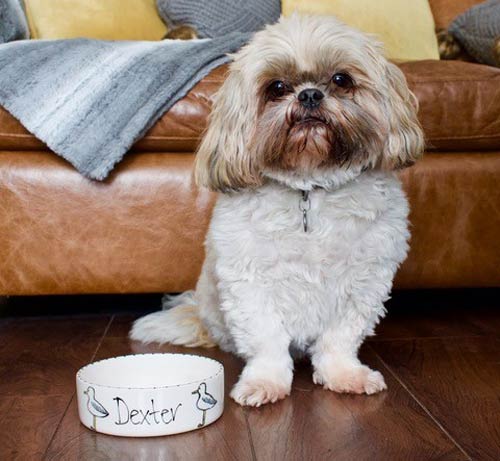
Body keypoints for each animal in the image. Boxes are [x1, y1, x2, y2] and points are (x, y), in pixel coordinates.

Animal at [131, 13, 424, 406]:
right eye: (277, 86)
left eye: (341, 80)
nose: (310, 94)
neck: (309, 189)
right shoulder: (250, 283)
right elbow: (267, 341)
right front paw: (265, 382)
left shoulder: (364, 281)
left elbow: (340, 339)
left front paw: (343, 375)